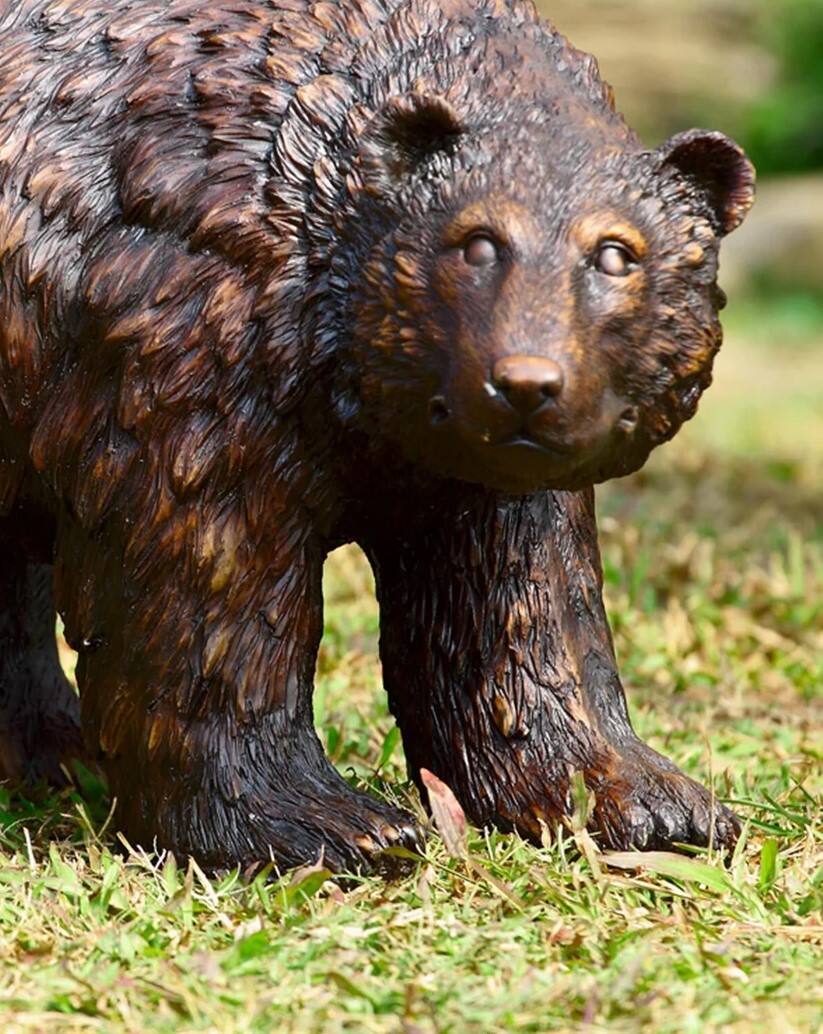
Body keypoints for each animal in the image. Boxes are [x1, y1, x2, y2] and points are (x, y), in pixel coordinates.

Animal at [0, 0, 755, 873]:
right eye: (476, 241)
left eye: (614, 253)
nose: (525, 384)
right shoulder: (188, 368)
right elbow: (203, 608)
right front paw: (316, 822)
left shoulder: (486, 481)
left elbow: (519, 616)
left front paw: (640, 797)